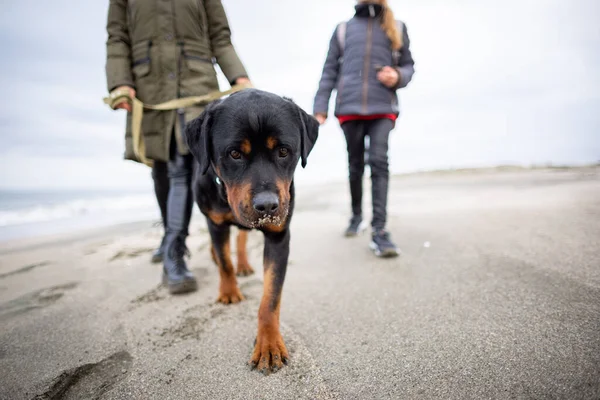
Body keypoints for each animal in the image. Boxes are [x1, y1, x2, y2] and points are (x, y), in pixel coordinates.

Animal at [185, 87, 318, 372]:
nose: (267, 205)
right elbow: (225, 261)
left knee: (242, 239)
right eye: (234, 154)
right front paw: (228, 291)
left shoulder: (279, 236)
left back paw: (244, 264)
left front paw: (269, 344)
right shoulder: (215, 222)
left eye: (283, 151)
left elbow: (271, 296)